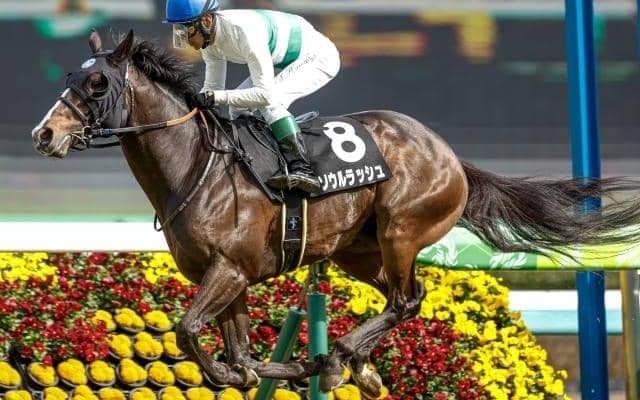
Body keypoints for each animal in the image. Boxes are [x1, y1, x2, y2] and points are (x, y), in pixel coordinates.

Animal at [31, 30, 640, 397]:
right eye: (69, 79)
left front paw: (284, 364)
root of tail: (448, 154)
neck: (196, 167)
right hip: (358, 251)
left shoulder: (229, 268)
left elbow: (187, 330)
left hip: (401, 229)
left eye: (98, 83)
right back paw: (357, 364)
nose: (45, 134)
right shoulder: (229, 276)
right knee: (401, 299)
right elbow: (234, 347)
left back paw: (344, 354)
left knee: (407, 299)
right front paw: (262, 366)